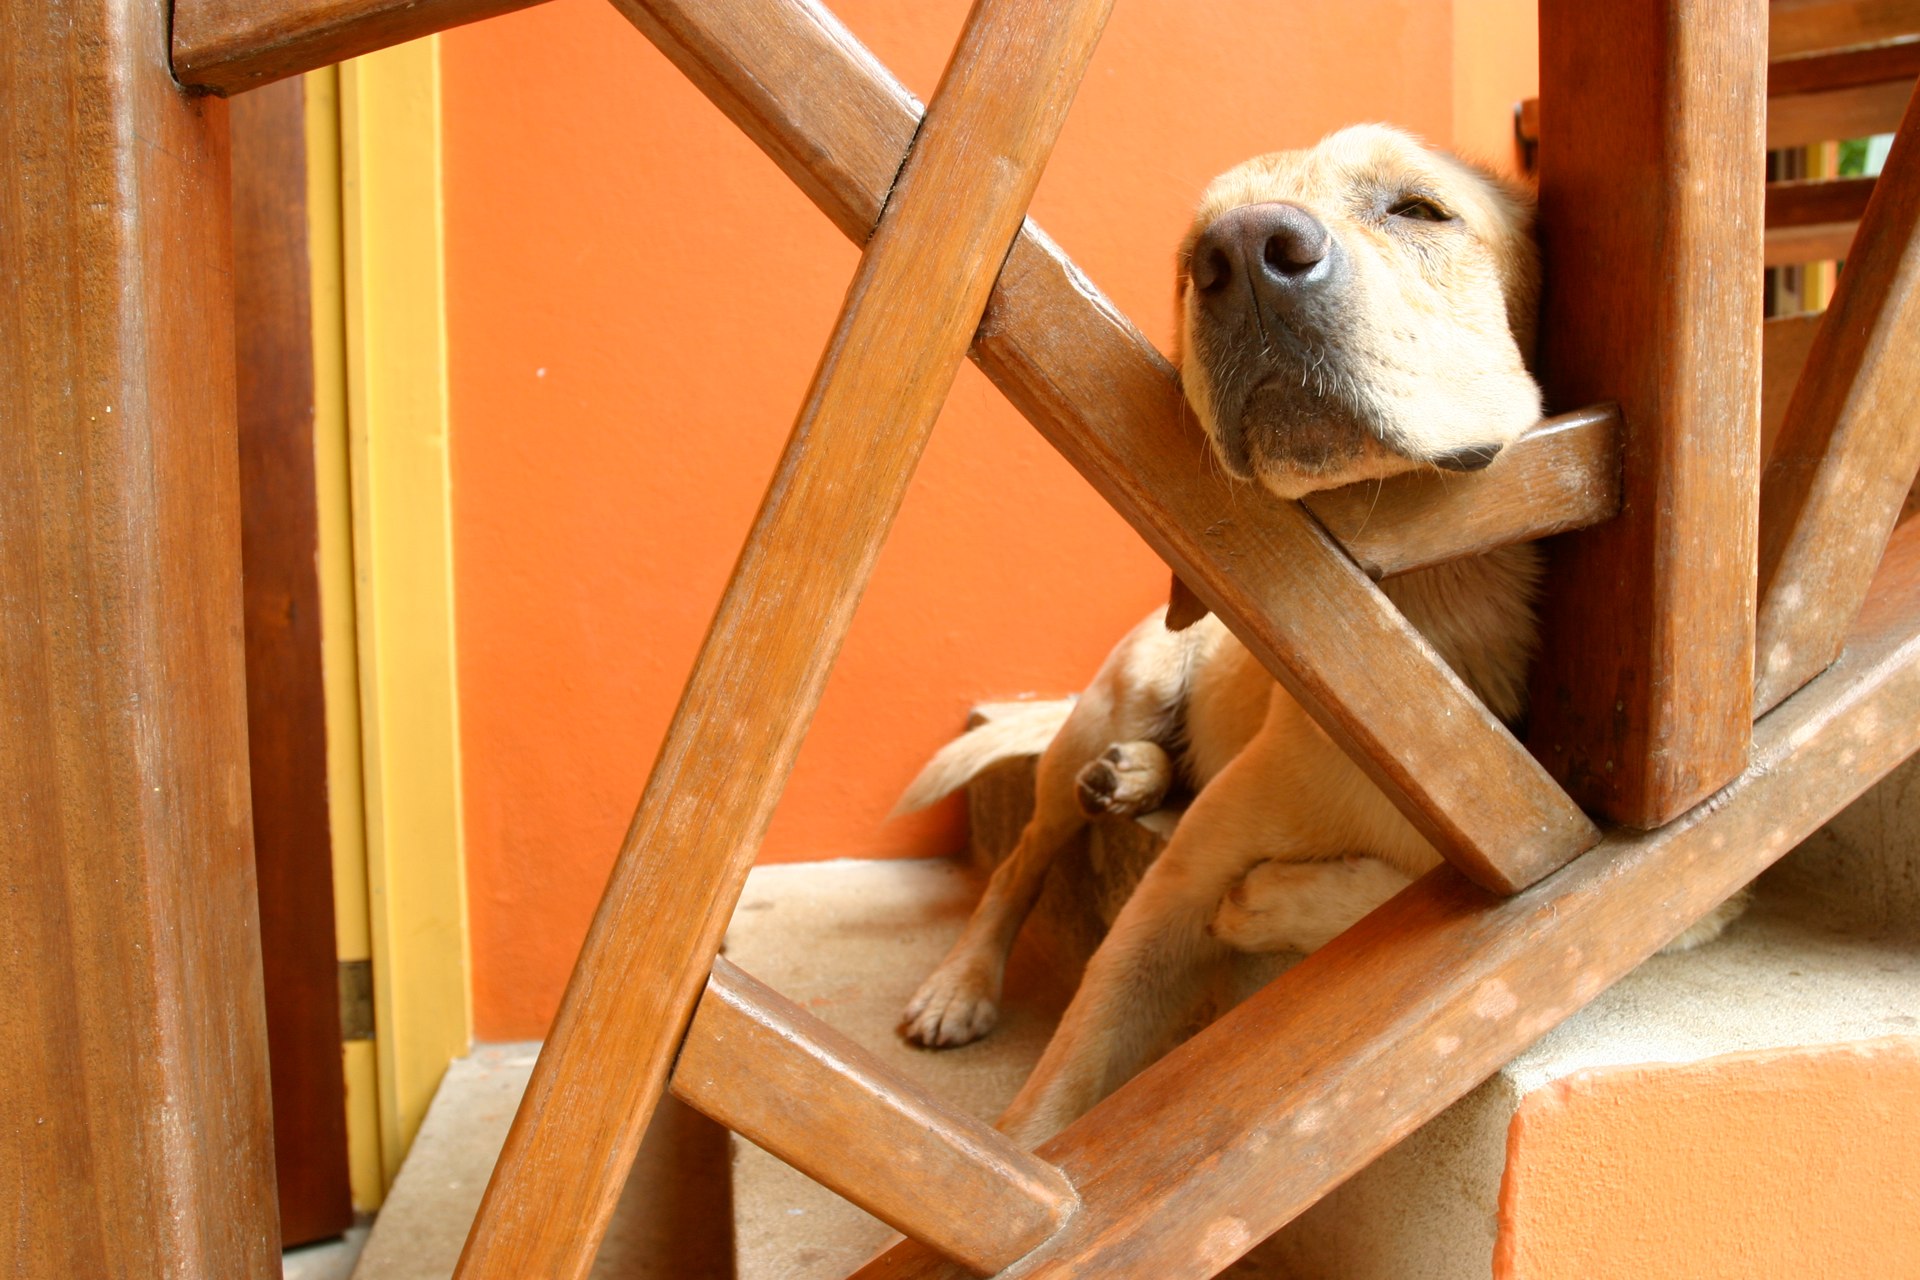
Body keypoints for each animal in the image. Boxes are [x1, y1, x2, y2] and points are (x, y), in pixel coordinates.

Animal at [890, 124, 1751, 1143]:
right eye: (1189, 263)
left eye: (1419, 209)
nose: (1242, 254)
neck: (1419, 649)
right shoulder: (1168, 897)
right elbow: (1054, 1102)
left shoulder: (1686, 878)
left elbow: (1399, 889)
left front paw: (1272, 904)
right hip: (1113, 704)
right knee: (1020, 860)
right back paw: (964, 979)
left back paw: (1138, 780)